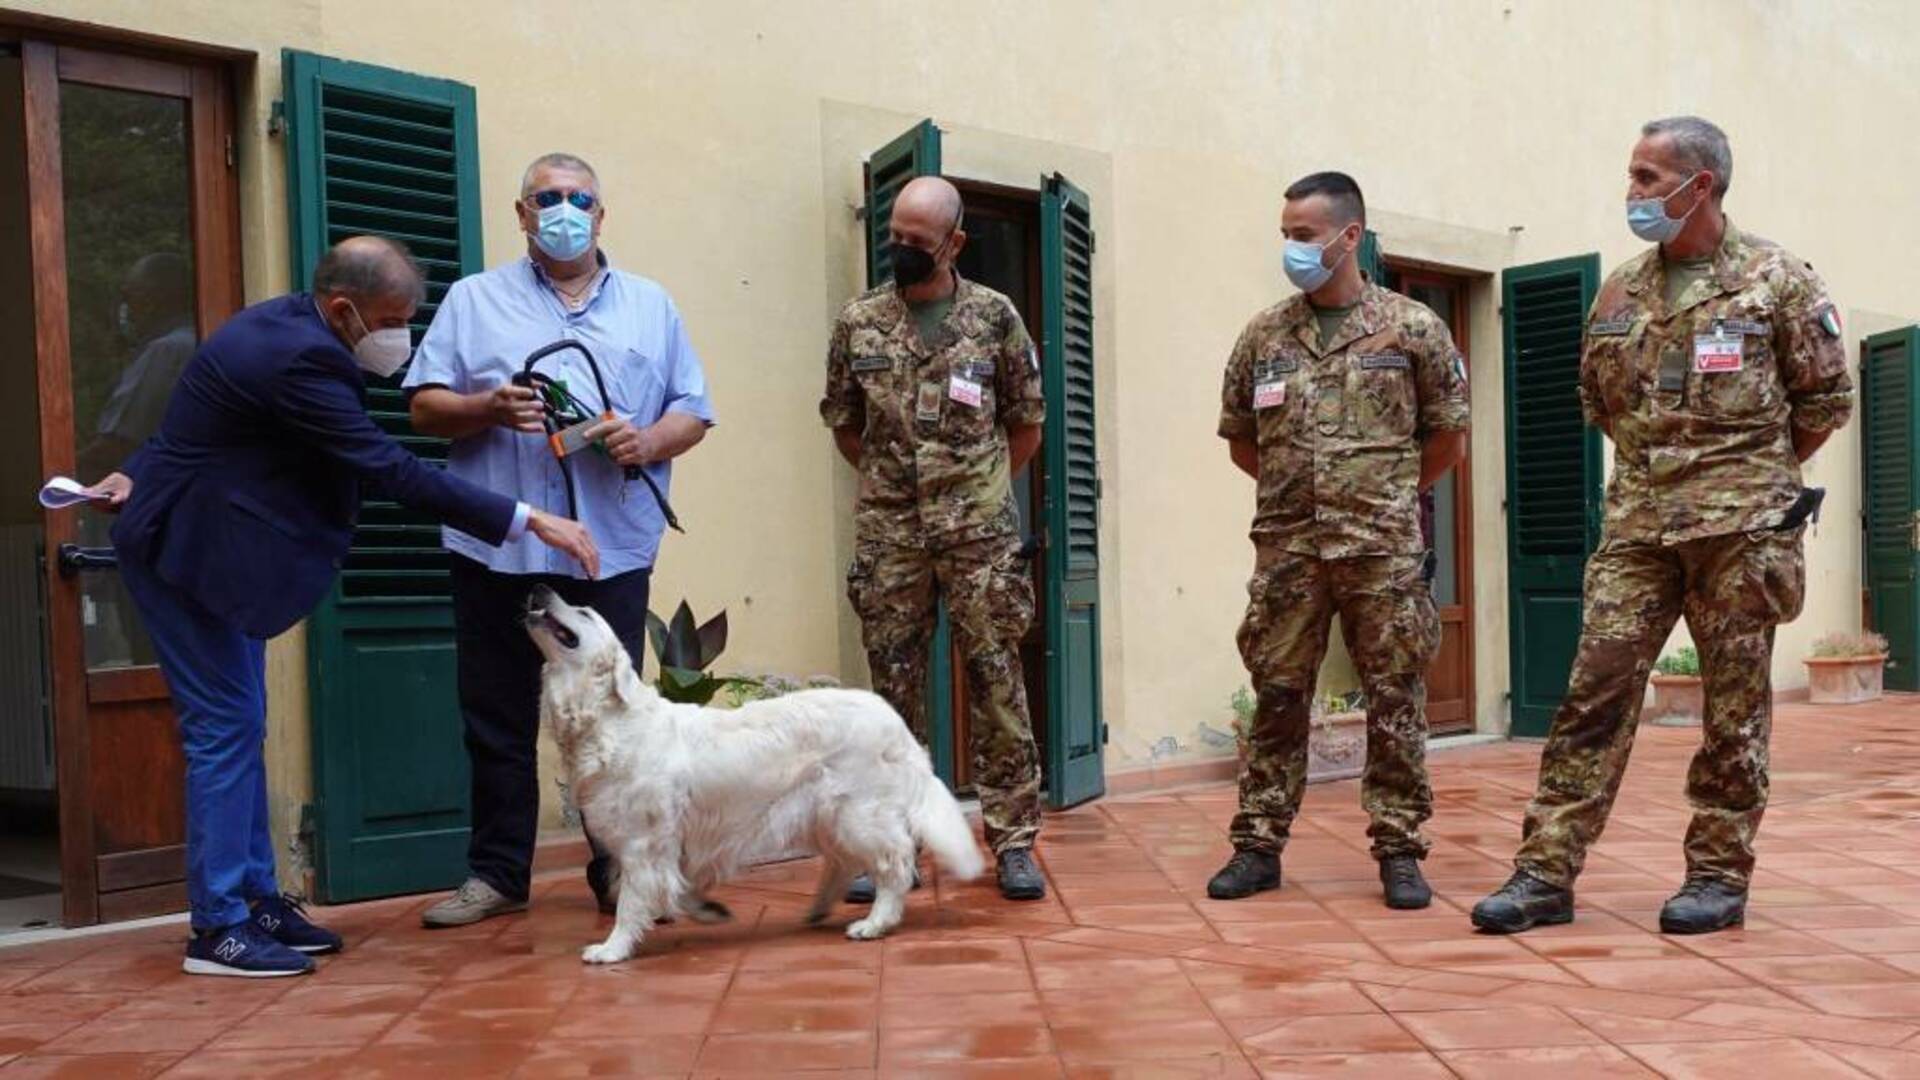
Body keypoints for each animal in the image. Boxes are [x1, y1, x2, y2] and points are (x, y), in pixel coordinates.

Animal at [522, 584, 983, 960]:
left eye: (583, 612)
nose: (540, 588)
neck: (609, 719)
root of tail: (894, 720)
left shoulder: (642, 841)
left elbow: (631, 901)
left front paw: (611, 948)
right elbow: (676, 884)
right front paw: (706, 908)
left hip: (857, 812)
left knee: (894, 863)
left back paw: (874, 922)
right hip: (826, 814)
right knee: (843, 862)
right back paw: (819, 909)